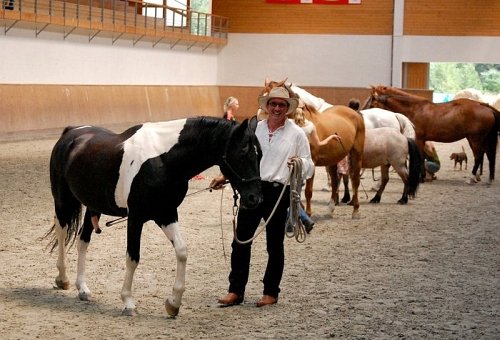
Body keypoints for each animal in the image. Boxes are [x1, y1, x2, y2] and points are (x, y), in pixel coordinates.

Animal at [46, 116, 262, 316]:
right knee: (62, 232)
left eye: (259, 155)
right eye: (243, 153)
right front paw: (128, 302)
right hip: (63, 200)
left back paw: (82, 288)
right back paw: (62, 279)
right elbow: (133, 257)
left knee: (83, 240)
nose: (255, 198)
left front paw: (173, 303)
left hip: (93, 206)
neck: (163, 160)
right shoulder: (136, 217)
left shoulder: (166, 213)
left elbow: (182, 251)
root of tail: (71, 132)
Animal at [260, 79, 366, 218]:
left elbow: (308, 191)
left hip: (356, 154)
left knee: (355, 180)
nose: (260, 118)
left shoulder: (311, 162)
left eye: (275, 100)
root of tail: (355, 114)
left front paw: (308, 213)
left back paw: (356, 210)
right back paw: (330, 209)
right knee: (334, 182)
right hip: (332, 160)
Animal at [364, 86, 500, 185]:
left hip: (475, 139)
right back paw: (486, 178)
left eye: (371, 104)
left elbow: (420, 156)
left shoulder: (419, 139)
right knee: (487, 156)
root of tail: (486, 108)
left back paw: (471, 178)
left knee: (478, 157)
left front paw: (420, 178)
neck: (415, 109)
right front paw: (423, 177)